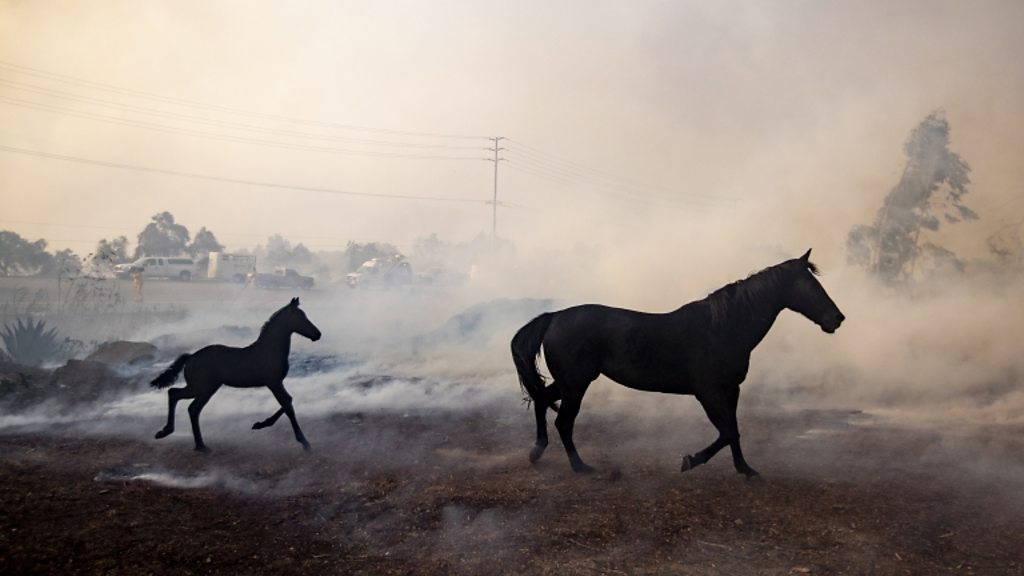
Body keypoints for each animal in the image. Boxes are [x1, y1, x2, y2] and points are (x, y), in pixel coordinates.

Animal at [149, 297, 319, 450]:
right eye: (300, 317)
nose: (318, 334)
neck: (269, 350)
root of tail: (190, 357)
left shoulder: (275, 383)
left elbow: (288, 402)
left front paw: (259, 424)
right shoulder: (273, 382)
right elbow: (287, 404)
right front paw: (304, 442)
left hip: (207, 388)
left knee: (191, 408)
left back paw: (199, 444)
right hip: (201, 387)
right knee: (175, 395)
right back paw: (167, 432)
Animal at [509, 249, 839, 473]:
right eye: (811, 285)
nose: (838, 318)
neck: (723, 327)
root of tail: (554, 317)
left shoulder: (731, 390)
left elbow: (732, 430)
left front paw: (745, 469)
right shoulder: (708, 392)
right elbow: (727, 431)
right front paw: (691, 460)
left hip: (570, 382)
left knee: (542, 400)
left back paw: (537, 451)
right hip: (576, 384)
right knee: (563, 421)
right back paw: (580, 467)